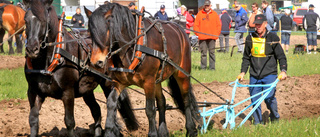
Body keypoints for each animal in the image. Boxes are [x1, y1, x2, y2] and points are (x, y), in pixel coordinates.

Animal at [22, 0, 138, 136]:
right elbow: (33, 119)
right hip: (86, 89)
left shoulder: (68, 92)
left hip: (108, 84)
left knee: (113, 106)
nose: (31, 49)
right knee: (96, 110)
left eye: (44, 20)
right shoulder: (33, 91)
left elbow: (69, 121)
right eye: (25, 20)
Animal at [85, 2, 200, 136]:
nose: (96, 62)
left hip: (182, 74)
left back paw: (191, 129)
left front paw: (153, 133)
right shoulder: (118, 83)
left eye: (106, 31)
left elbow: (150, 109)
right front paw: (108, 131)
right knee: (162, 101)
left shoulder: (148, 82)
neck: (134, 48)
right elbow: (111, 104)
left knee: (186, 100)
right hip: (157, 80)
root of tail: (180, 30)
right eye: (91, 33)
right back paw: (163, 131)